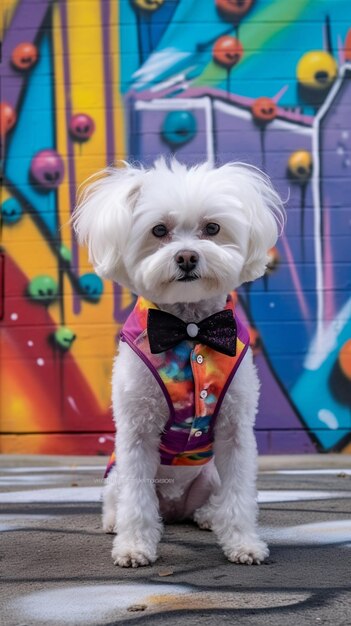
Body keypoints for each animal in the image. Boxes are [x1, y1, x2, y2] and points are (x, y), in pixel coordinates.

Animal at [73, 155, 284, 564]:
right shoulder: (136, 433)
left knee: (213, 500)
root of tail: (172, 509)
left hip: (209, 476)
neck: (189, 328)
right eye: (159, 230)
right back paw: (115, 522)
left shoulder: (235, 431)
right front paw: (134, 546)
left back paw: (208, 517)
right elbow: (136, 500)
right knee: (120, 500)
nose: (187, 256)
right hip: (115, 474)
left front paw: (243, 544)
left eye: (212, 228)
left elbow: (240, 495)